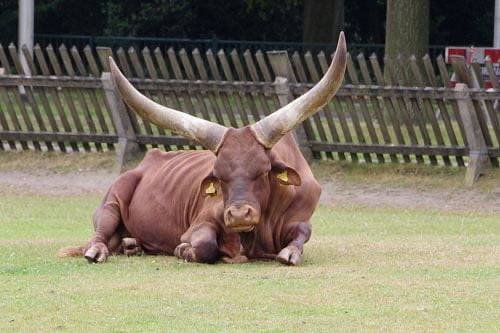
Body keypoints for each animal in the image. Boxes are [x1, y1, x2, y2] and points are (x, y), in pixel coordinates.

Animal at [60, 33, 346, 264]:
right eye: (218, 175)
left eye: (264, 171)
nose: (239, 214)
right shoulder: (200, 223)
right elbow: (205, 246)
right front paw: (183, 250)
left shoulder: (301, 217)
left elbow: (301, 235)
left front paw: (290, 253)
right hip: (113, 199)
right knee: (100, 233)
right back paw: (97, 250)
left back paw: (132, 245)